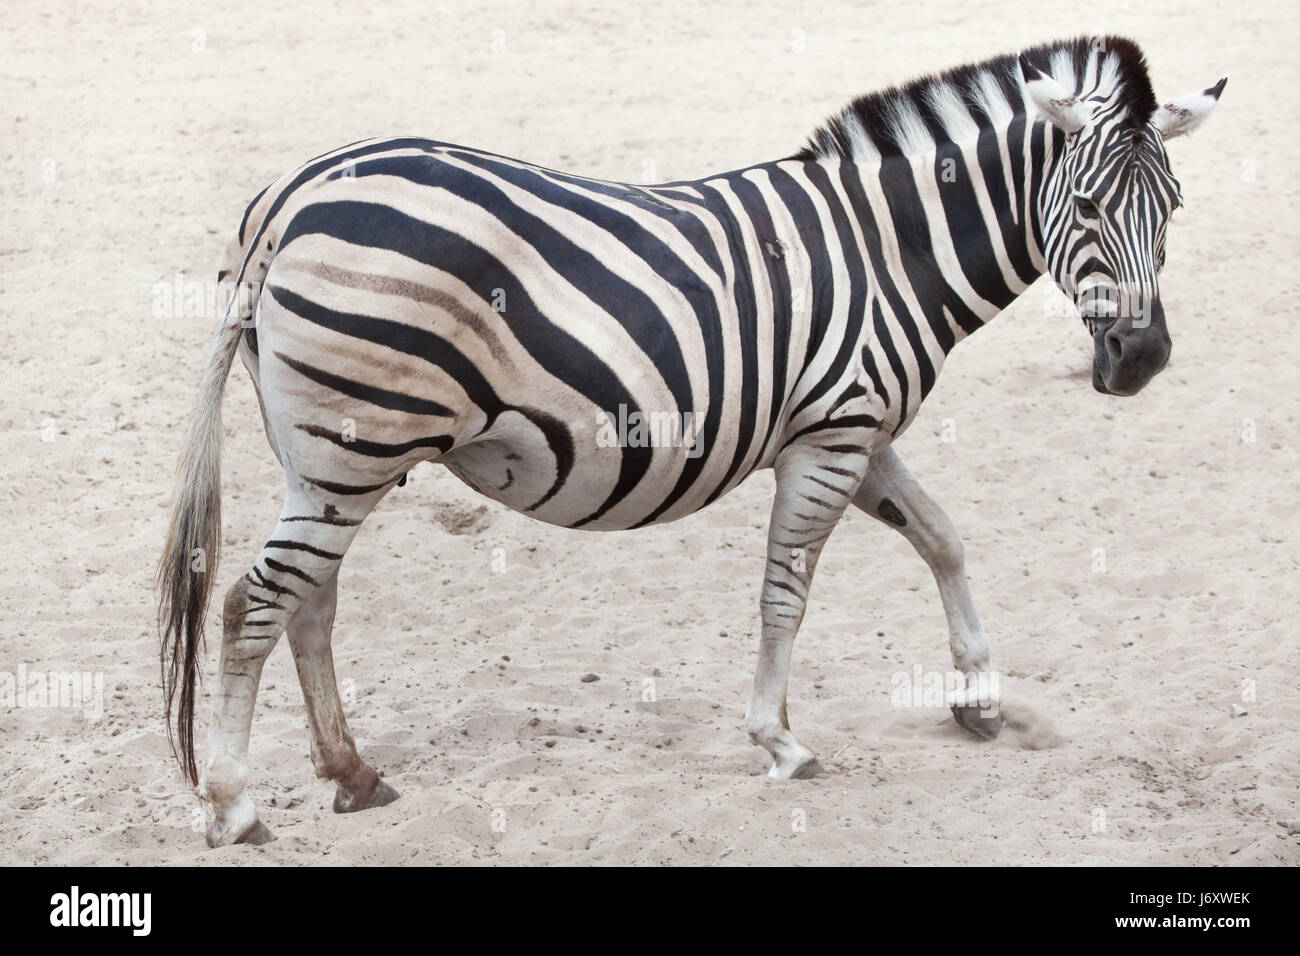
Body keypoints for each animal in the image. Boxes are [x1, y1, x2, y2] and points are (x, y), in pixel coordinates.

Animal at [157, 35, 1222, 842]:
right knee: (256, 604)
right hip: (355, 447)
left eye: (1173, 208)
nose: (1141, 360)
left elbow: (944, 538)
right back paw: (235, 806)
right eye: (1086, 207)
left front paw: (981, 698)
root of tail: (292, 194)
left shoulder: (860, 425)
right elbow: (787, 592)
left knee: (310, 603)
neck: (888, 253)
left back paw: (351, 772)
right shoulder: (834, 433)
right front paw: (780, 741)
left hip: (327, 457)